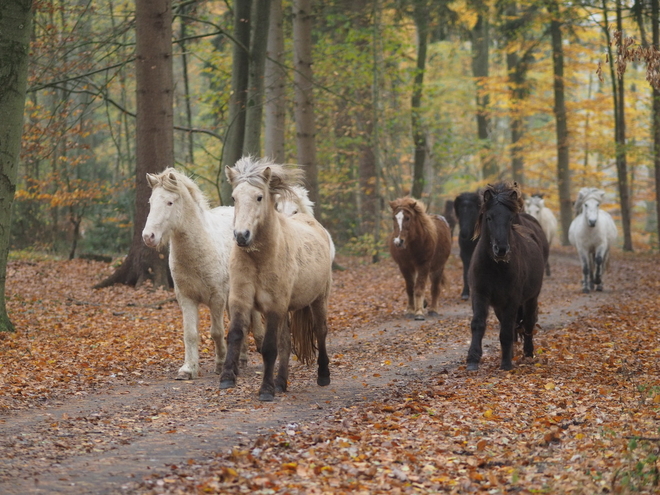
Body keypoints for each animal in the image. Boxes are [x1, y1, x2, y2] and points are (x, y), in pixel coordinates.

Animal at [141, 169, 262, 382]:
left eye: (170, 202)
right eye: (151, 202)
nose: (148, 237)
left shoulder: (217, 299)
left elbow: (216, 332)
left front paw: (220, 364)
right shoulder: (186, 298)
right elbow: (190, 334)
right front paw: (188, 369)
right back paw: (241, 360)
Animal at [466, 182, 548, 372]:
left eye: (510, 219)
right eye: (489, 218)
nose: (501, 250)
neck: (495, 268)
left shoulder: (512, 299)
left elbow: (507, 330)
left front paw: (506, 364)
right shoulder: (480, 295)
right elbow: (478, 324)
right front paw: (473, 360)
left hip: (531, 299)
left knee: (528, 324)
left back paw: (528, 353)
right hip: (498, 306)